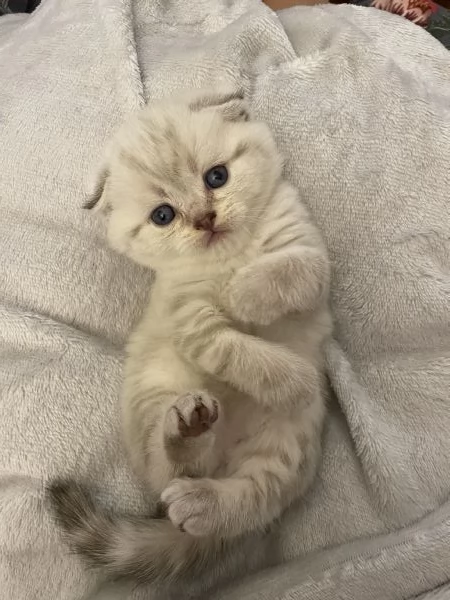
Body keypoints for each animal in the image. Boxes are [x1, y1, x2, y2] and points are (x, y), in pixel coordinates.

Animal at [48, 89, 332, 593]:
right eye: (164, 216)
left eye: (216, 176)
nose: (204, 219)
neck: (231, 256)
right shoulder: (190, 322)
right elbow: (239, 351)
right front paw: (293, 380)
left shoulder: (310, 256)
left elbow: (287, 271)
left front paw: (243, 294)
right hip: (155, 400)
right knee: (171, 472)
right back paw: (189, 429)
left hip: (285, 446)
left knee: (246, 499)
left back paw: (202, 501)